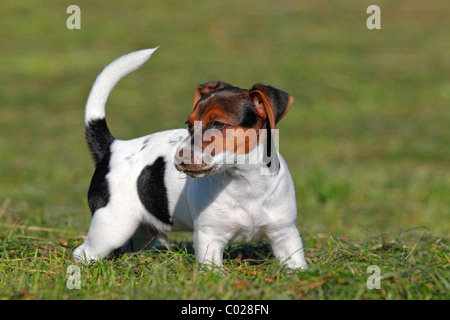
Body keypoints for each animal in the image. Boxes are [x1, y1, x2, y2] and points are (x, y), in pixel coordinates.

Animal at [74, 47, 308, 268]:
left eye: (218, 124)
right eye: (188, 124)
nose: (178, 159)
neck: (245, 182)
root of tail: (113, 147)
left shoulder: (286, 236)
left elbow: (297, 267)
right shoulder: (209, 239)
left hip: (141, 234)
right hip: (111, 227)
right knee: (82, 253)